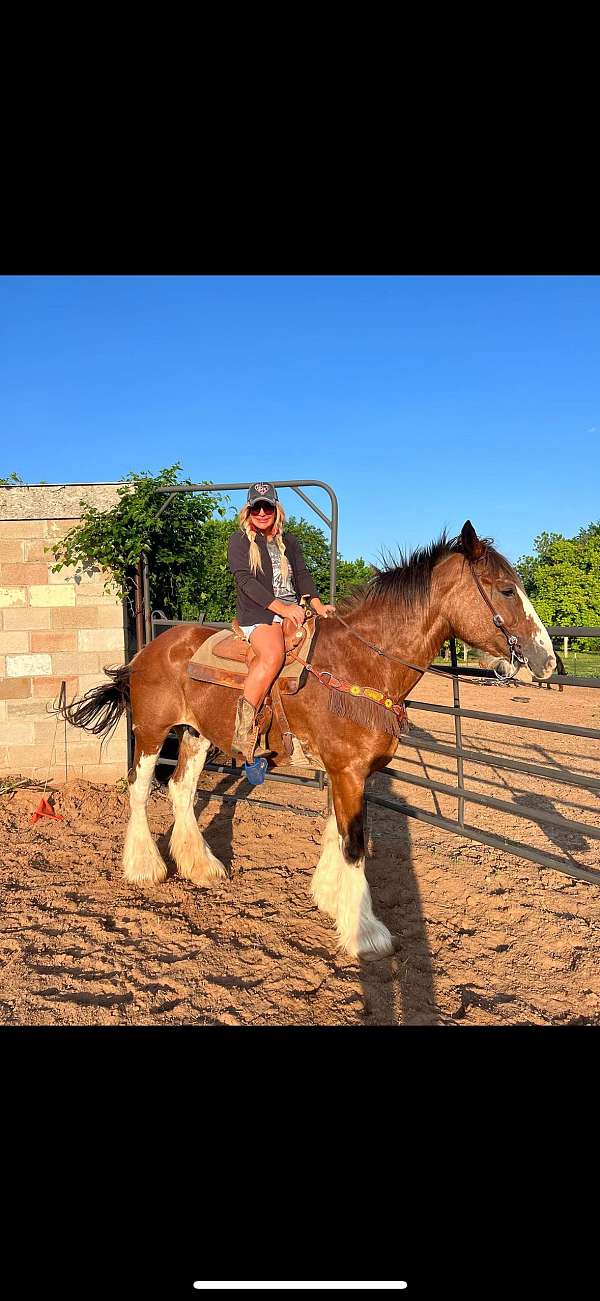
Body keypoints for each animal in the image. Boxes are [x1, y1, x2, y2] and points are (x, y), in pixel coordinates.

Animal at [61, 520, 556, 960]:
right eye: (506, 590)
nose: (547, 660)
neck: (359, 666)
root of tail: (150, 649)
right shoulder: (348, 771)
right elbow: (354, 843)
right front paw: (364, 932)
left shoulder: (346, 773)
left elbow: (337, 832)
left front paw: (329, 898)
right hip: (150, 733)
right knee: (140, 789)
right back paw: (144, 867)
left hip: (197, 736)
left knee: (181, 789)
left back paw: (201, 866)